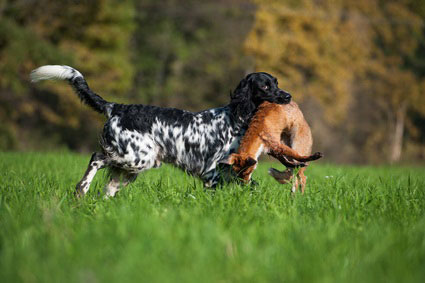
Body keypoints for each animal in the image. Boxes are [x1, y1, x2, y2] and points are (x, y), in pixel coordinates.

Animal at [30, 65, 292, 197]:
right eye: (265, 86)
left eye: (277, 83)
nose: (288, 96)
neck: (236, 119)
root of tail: (118, 107)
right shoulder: (211, 173)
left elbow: (252, 186)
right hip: (136, 158)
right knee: (96, 158)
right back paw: (81, 189)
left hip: (131, 167)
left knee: (109, 187)